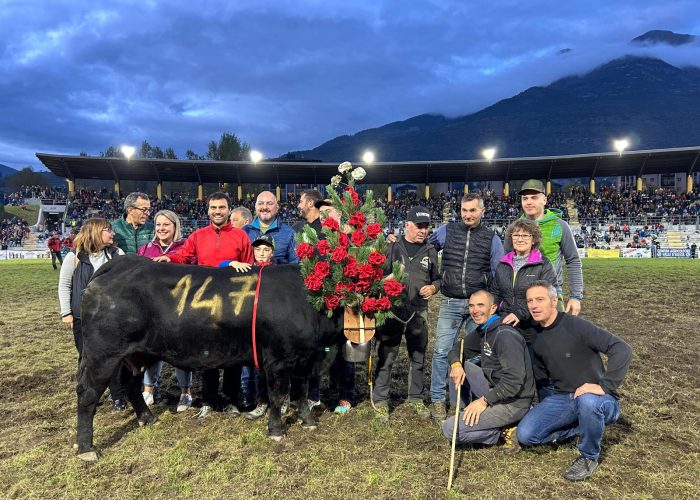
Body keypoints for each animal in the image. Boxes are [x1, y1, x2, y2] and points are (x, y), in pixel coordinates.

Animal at [75, 256, 344, 462]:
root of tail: (121, 263)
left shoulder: (304, 359)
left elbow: (302, 391)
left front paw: (308, 421)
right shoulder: (277, 360)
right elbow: (278, 396)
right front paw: (276, 430)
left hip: (138, 353)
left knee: (132, 384)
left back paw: (149, 419)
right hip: (102, 355)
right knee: (88, 394)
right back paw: (87, 448)